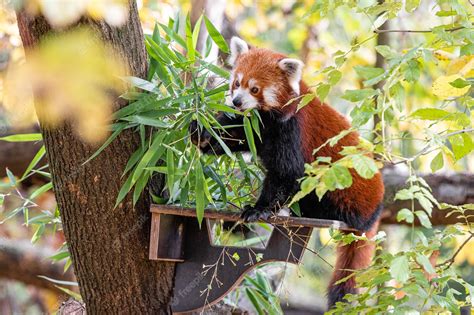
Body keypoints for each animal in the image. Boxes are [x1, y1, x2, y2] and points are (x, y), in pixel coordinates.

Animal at [189, 36, 386, 308]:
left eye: (255, 89)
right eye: (237, 83)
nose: (237, 101)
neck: (268, 118)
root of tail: (376, 208)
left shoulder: (292, 129)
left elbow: (286, 173)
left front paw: (258, 209)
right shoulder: (254, 127)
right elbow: (232, 136)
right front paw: (201, 130)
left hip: (343, 193)